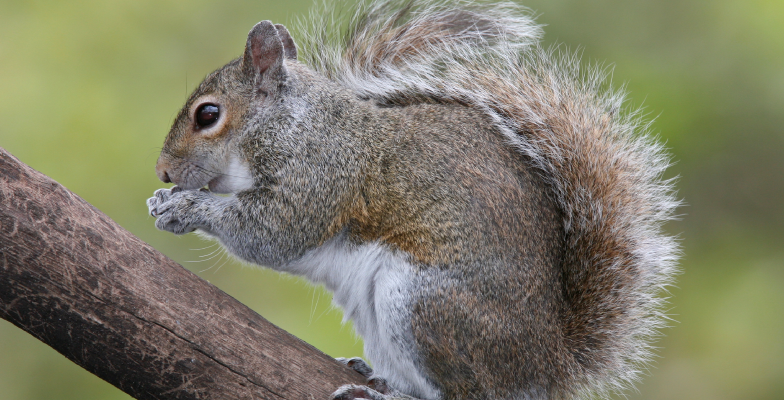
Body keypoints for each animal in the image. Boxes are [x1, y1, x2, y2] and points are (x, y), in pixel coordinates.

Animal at [147, 0, 680, 400]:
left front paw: (183, 208)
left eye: (208, 114)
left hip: (423, 305)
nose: (163, 171)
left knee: (468, 393)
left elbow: (272, 233)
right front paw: (163, 200)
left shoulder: (319, 175)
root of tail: (550, 366)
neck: (289, 123)